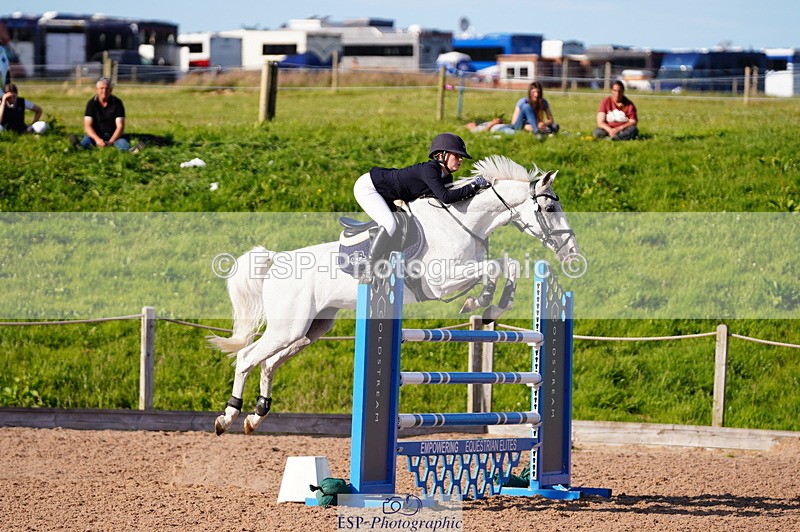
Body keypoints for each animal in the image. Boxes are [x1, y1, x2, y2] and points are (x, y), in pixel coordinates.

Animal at [209, 155, 581, 435]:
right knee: (247, 357)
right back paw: (228, 417)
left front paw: (494, 307)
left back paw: (256, 417)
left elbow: (509, 265)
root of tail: (275, 261)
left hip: (311, 329)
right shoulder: (441, 282)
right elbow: (491, 270)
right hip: (288, 327)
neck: (465, 221)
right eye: (550, 210)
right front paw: (479, 301)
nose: (572, 253)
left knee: (269, 363)